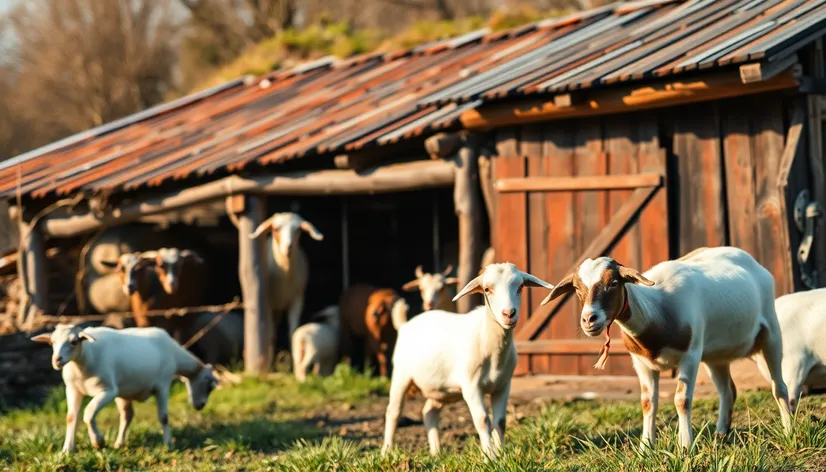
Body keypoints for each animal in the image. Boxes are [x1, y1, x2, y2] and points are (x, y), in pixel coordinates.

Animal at [32, 322, 219, 452]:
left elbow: (163, 417)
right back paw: (119, 443)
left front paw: (98, 442)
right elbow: (72, 417)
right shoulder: (73, 390)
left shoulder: (114, 390)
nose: (57, 360)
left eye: (74, 341)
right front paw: (67, 450)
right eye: (52, 342)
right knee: (126, 416)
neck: (85, 358)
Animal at [248, 212, 322, 342]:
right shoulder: (268, 304)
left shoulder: (298, 300)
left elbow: (292, 332)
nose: (288, 247)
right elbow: (270, 335)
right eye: (276, 229)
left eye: (298, 230)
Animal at [382, 262, 552, 458]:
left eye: (521, 287)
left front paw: (501, 454)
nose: (509, 313)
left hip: (440, 389)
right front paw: (490, 457)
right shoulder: (471, 387)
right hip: (401, 376)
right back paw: (386, 451)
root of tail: (405, 324)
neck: (489, 343)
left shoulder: (503, 385)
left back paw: (436, 452)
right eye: (486, 289)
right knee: (393, 412)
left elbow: (500, 421)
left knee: (429, 412)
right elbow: (482, 420)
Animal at [540, 247, 792, 450]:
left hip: (771, 331)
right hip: (715, 356)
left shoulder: (690, 356)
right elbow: (648, 402)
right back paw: (720, 436)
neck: (657, 311)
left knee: (779, 386)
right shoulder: (641, 363)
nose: (589, 320)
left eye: (613, 283)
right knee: (727, 391)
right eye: (577, 289)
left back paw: (789, 430)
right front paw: (645, 448)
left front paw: (685, 446)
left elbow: (682, 400)